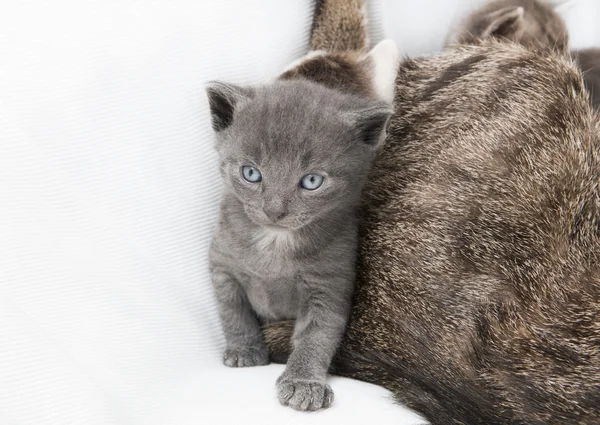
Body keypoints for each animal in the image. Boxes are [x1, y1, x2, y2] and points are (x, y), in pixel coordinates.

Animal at [206, 41, 398, 410]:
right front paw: (244, 349)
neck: (274, 241)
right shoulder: (222, 265)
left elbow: (317, 336)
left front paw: (304, 382)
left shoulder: (330, 285)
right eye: (251, 173)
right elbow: (232, 310)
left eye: (311, 181)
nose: (274, 210)